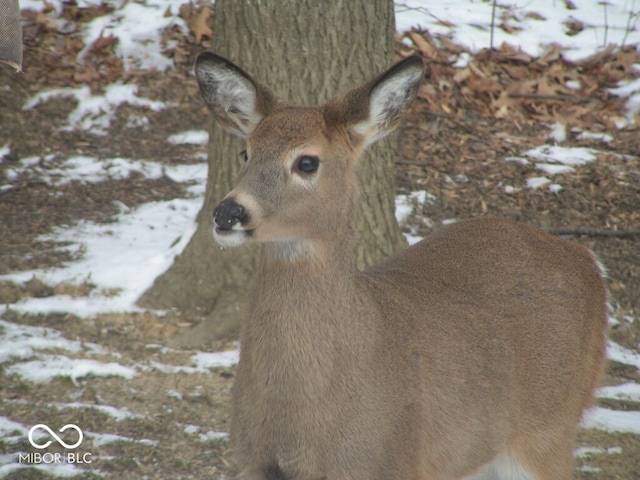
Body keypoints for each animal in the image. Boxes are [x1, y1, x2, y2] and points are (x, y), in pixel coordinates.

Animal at [195, 52, 608, 480]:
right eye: (247, 152)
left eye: (307, 162)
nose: (227, 212)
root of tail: (585, 260)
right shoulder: (252, 461)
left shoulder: (392, 461)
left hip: (549, 426)